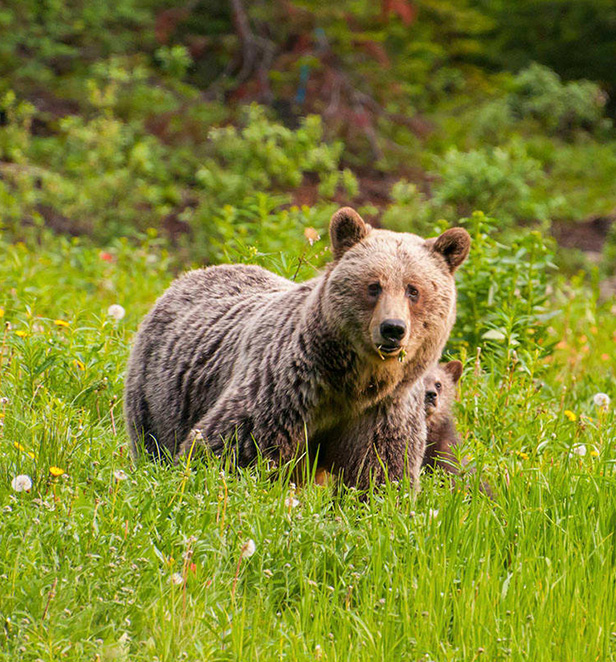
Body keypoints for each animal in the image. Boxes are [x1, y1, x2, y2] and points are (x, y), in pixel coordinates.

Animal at [123, 207, 470, 490]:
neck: (352, 383)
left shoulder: (383, 412)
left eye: (413, 290)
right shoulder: (287, 389)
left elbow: (379, 473)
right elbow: (232, 447)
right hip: (160, 391)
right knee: (153, 440)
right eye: (374, 286)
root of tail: (192, 274)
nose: (393, 329)